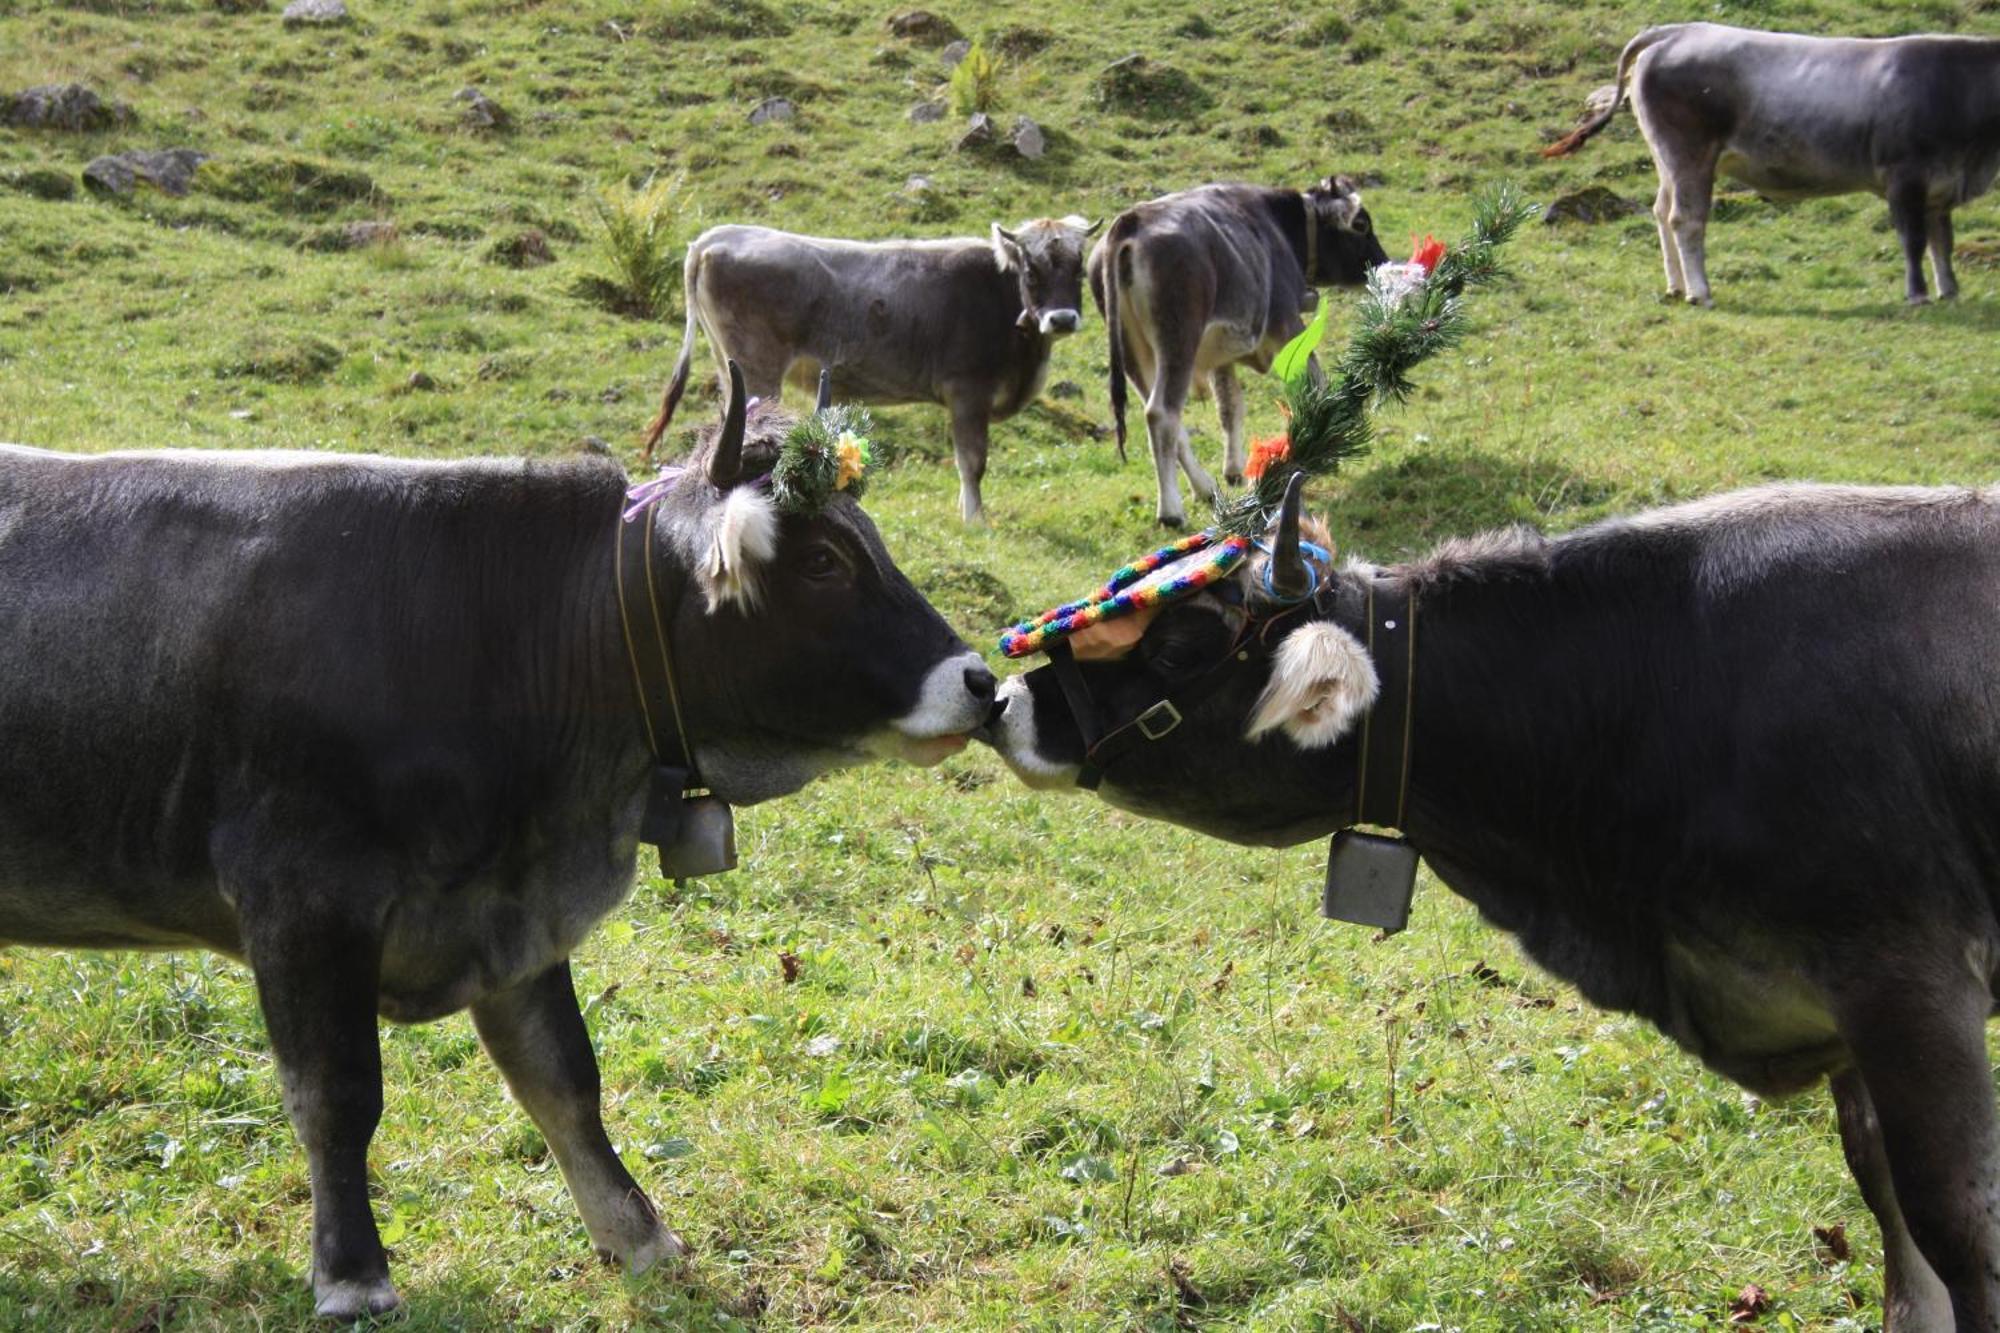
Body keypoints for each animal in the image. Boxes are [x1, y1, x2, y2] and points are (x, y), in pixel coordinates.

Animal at [0, 378, 996, 1312]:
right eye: (824, 561)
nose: (981, 681)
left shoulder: (512, 907)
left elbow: (563, 1076)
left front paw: (639, 1235)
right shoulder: (301, 898)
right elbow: (336, 1095)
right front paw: (353, 1273)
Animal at [640, 217, 1104, 520]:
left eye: (1079, 268)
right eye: (1032, 269)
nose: (1062, 318)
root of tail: (718, 236)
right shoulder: (967, 391)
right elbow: (972, 462)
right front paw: (975, 522)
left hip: (729, 365)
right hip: (759, 366)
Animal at [1096, 178, 1392, 528]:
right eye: (1361, 224)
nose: (1383, 264)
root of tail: (1131, 222)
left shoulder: (1220, 359)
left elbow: (1230, 407)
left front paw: (1235, 469)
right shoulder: (1287, 324)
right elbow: (1316, 382)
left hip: (1134, 354)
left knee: (1169, 419)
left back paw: (1205, 487)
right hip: (1178, 339)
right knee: (1161, 412)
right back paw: (1171, 510)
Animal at [1544, 24, 2000, 306]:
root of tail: (1677, 30)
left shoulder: (1940, 185)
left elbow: (1943, 242)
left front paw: (1950, 291)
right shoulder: (1904, 177)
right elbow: (1914, 240)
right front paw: (1919, 294)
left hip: (1667, 158)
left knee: (1660, 210)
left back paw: (1676, 286)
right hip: (1690, 153)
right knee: (1685, 218)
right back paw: (1699, 292)